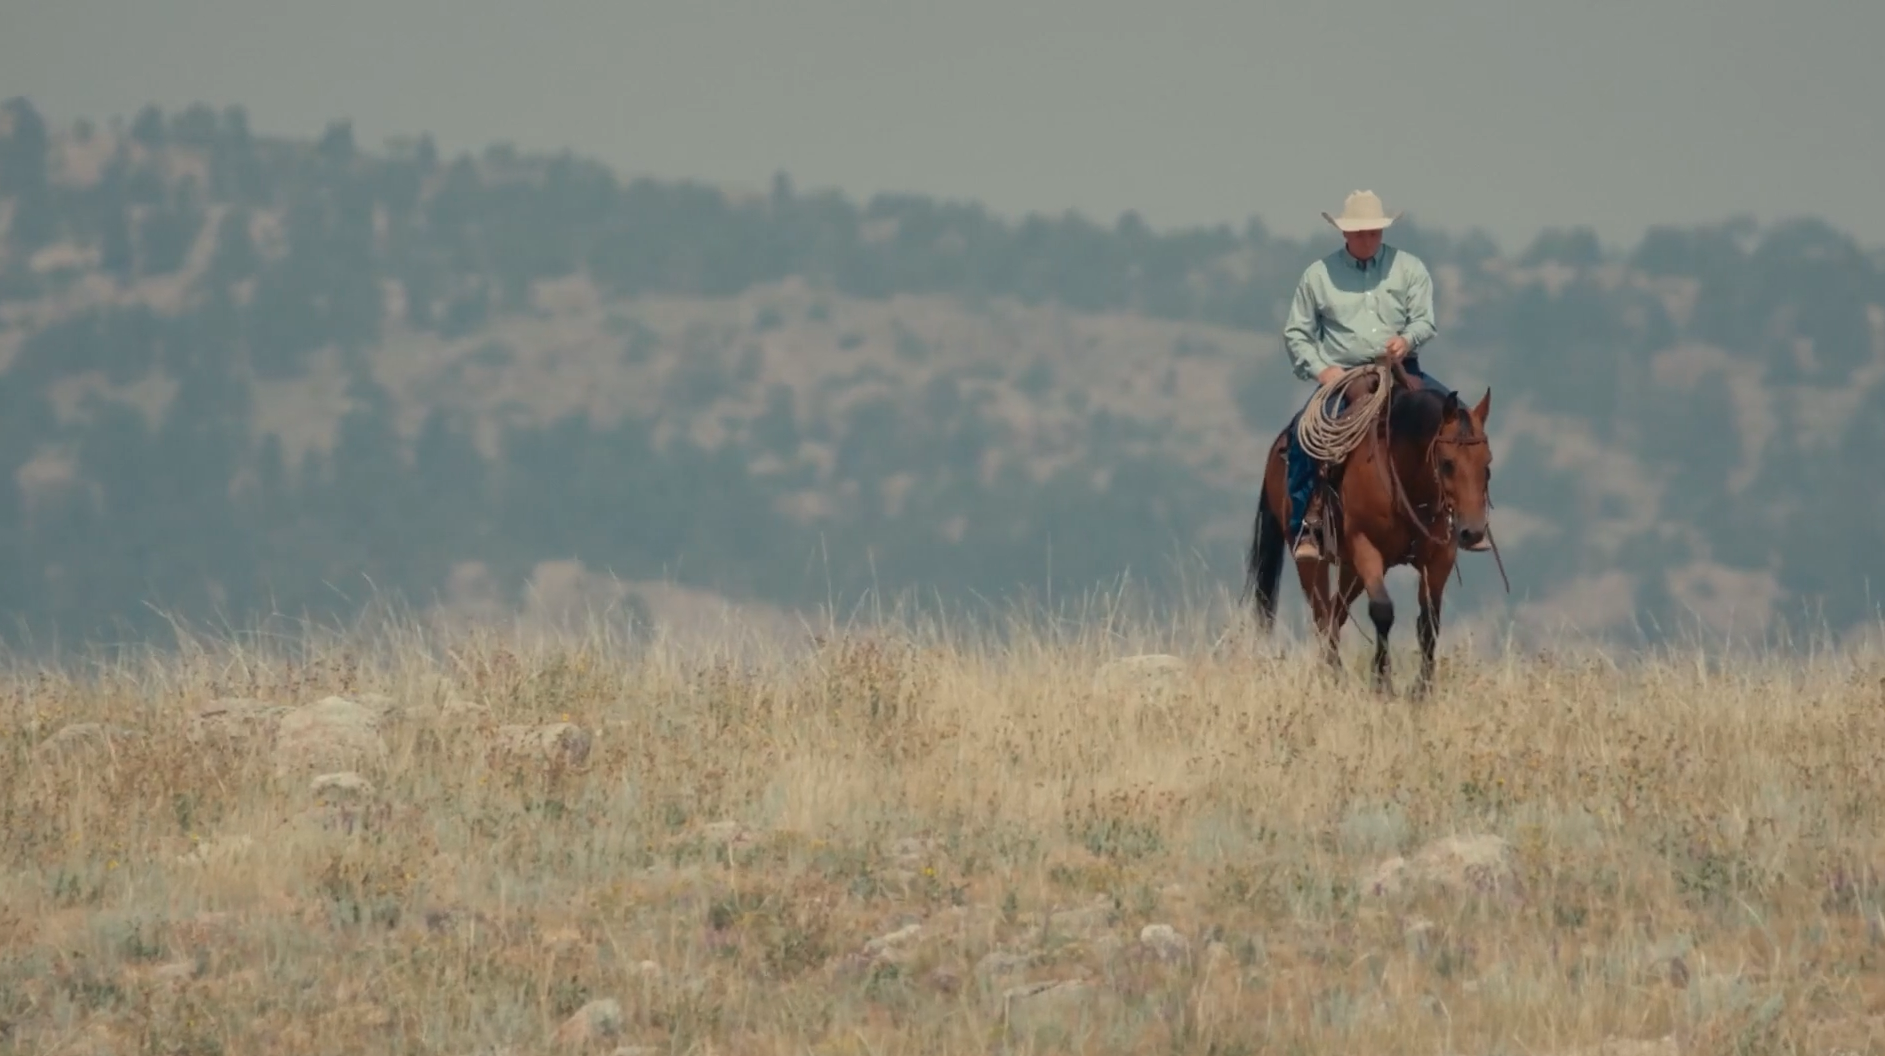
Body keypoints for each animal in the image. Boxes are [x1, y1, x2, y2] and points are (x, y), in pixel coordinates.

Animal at [1243, 363, 1500, 698]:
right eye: (1446, 463)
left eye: (1487, 463)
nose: (1473, 532)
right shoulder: (1366, 548)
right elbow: (1382, 611)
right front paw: (1382, 684)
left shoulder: (1440, 557)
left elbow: (1429, 622)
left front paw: (1422, 690)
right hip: (1312, 561)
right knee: (1322, 614)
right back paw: (1333, 675)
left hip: (1350, 569)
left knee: (1336, 614)